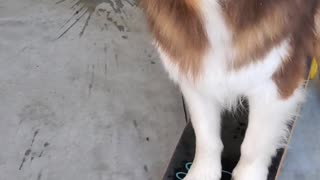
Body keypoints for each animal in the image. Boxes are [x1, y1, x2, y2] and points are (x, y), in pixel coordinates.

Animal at [141, 0, 320, 180]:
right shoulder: (192, 67)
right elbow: (205, 134)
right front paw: (203, 172)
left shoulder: (278, 76)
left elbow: (254, 144)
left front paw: (248, 174)